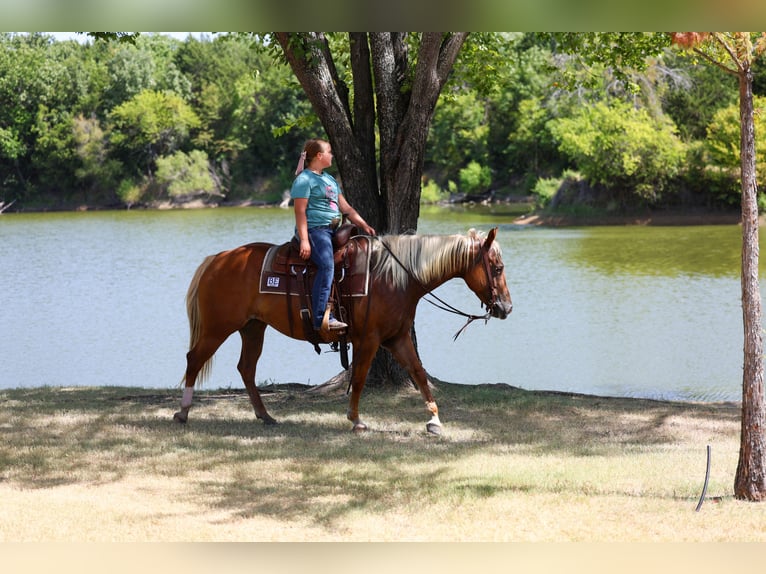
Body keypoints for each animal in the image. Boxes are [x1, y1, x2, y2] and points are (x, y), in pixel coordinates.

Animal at [174, 227, 512, 434]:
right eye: (497, 268)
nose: (506, 308)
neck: (395, 277)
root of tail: (217, 260)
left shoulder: (398, 338)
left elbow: (418, 373)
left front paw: (434, 421)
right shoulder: (370, 339)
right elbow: (359, 379)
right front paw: (356, 420)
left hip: (253, 328)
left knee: (246, 368)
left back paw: (265, 416)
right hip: (218, 328)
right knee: (194, 359)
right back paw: (183, 412)